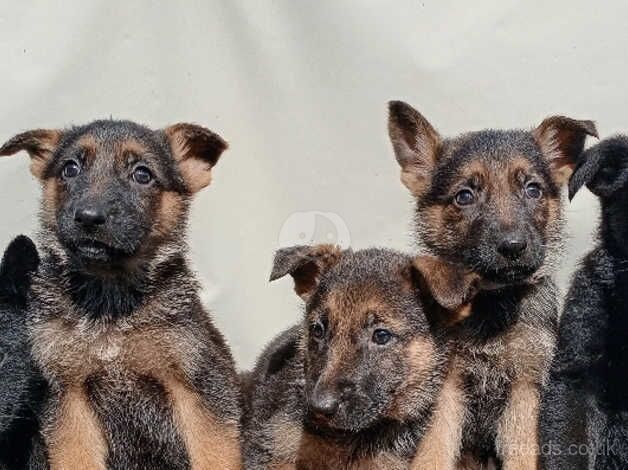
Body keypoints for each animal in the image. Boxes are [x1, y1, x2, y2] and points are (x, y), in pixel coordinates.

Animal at [0, 122, 242, 470]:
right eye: (70, 169)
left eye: (142, 174)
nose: (88, 217)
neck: (110, 304)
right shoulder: (70, 398)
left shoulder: (200, 386)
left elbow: (214, 454)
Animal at [386, 101, 596, 468]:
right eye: (464, 196)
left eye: (532, 190)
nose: (513, 247)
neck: (494, 304)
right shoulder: (447, 388)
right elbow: (434, 450)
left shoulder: (526, 388)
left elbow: (523, 454)